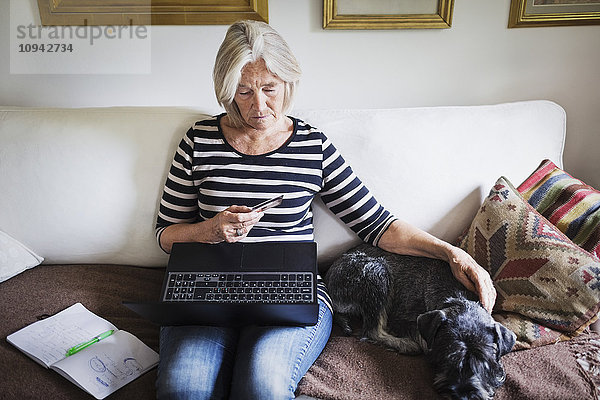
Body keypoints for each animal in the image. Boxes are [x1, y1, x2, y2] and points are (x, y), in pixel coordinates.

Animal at [324, 244, 516, 400]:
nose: (463, 395)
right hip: (376, 272)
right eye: (449, 356)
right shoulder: (405, 320)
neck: (457, 298)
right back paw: (405, 345)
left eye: (484, 362)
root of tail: (328, 278)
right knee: (372, 331)